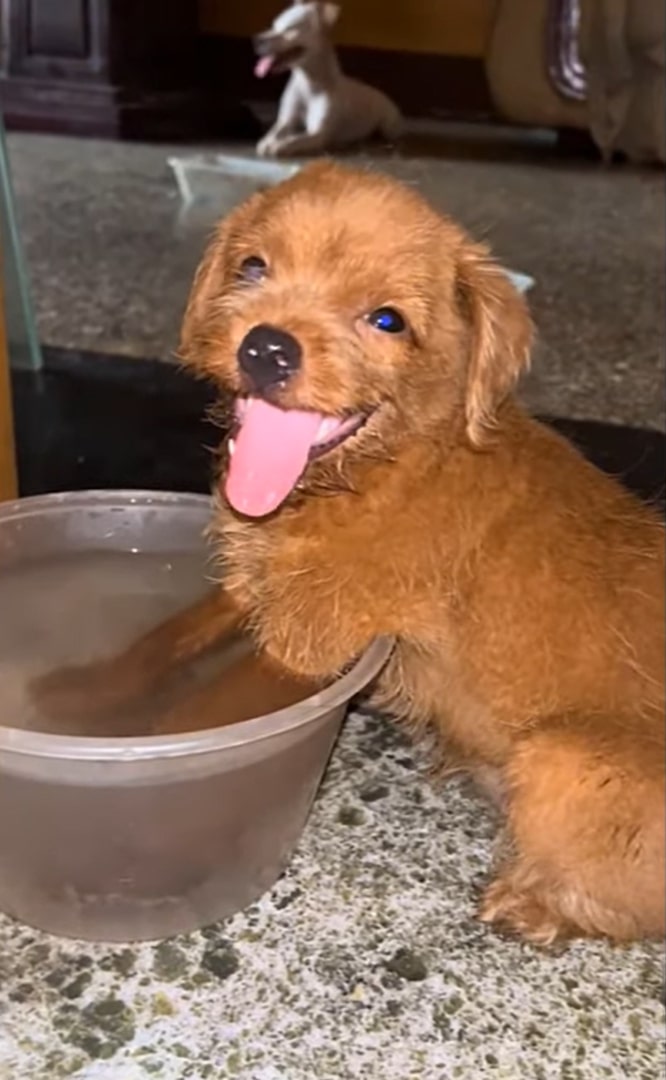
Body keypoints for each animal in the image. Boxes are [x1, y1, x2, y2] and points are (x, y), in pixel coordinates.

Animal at [33, 162, 660, 946]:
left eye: (387, 320)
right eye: (253, 267)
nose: (266, 348)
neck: (379, 469)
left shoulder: (304, 647)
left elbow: (198, 714)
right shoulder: (250, 588)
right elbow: (162, 640)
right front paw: (83, 698)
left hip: (561, 759)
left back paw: (535, 904)